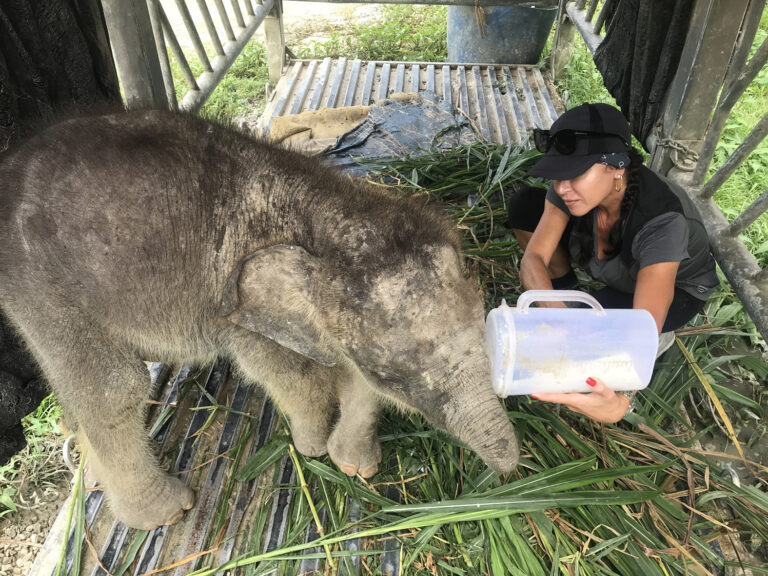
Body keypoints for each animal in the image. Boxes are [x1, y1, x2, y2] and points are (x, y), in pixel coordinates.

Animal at [0, 109, 519, 530]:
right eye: (393, 375)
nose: (513, 469)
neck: (324, 212)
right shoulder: (237, 315)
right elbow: (292, 374)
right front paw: (312, 448)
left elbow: (350, 379)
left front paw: (355, 467)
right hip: (40, 286)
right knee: (112, 386)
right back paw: (165, 513)